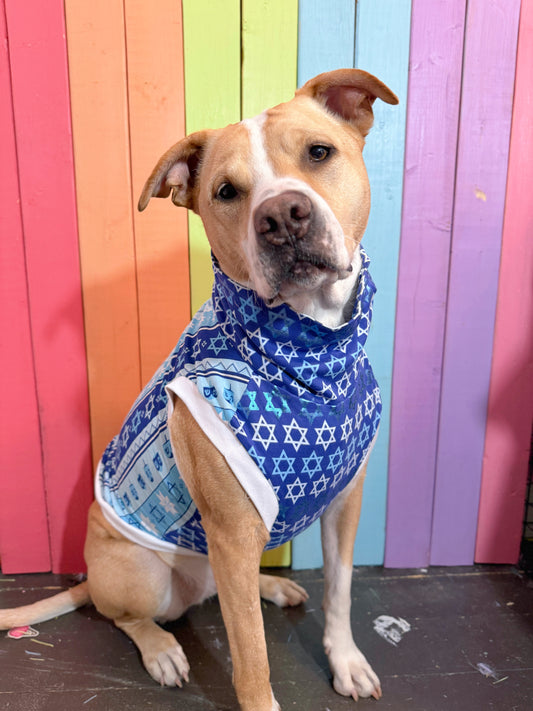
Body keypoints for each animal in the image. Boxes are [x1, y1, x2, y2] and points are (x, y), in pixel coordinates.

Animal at [0, 68, 396, 711]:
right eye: (227, 192)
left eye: (319, 153)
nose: (282, 216)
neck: (308, 357)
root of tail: (92, 578)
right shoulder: (232, 534)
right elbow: (252, 660)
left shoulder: (344, 503)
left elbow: (340, 591)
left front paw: (347, 662)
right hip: (148, 574)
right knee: (125, 617)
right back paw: (162, 650)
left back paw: (273, 588)